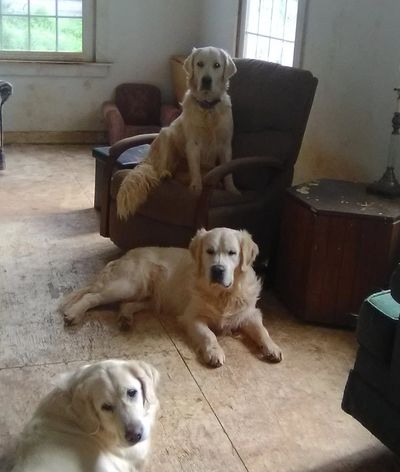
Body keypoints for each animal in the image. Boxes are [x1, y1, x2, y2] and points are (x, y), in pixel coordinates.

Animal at [61, 227, 282, 366]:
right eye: (209, 251)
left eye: (232, 253)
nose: (217, 270)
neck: (222, 294)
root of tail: (125, 255)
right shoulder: (192, 317)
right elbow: (208, 335)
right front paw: (214, 352)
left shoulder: (248, 313)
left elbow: (262, 330)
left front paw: (272, 348)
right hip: (129, 284)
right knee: (92, 296)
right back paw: (73, 313)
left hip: (149, 296)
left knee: (126, 304)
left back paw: (125, 319)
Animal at [117, 46, 239, 219]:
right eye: (200, 64)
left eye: (217, 65)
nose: (206, 80)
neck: (207, 108)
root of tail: (148, 160)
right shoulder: (193, 144)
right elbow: (194, 168)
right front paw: (196, 187)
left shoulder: (226, 144)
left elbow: (228, 172)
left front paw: (232, 189)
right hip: (166, 134)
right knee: (161, 167)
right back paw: (165, 173)